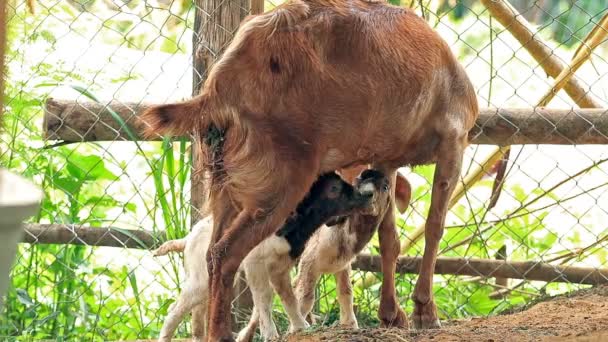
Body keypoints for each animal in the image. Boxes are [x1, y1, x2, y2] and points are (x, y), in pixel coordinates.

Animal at [140, 0, 478, 340]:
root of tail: (219, 87)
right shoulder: (454, 139)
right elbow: (434, 227)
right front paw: (425, 312)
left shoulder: (386, 158)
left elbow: (390, 238)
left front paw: (392, 314)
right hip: (278, 184)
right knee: (226, 254)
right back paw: (223, 333)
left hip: (225, 186)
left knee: (211, 252)